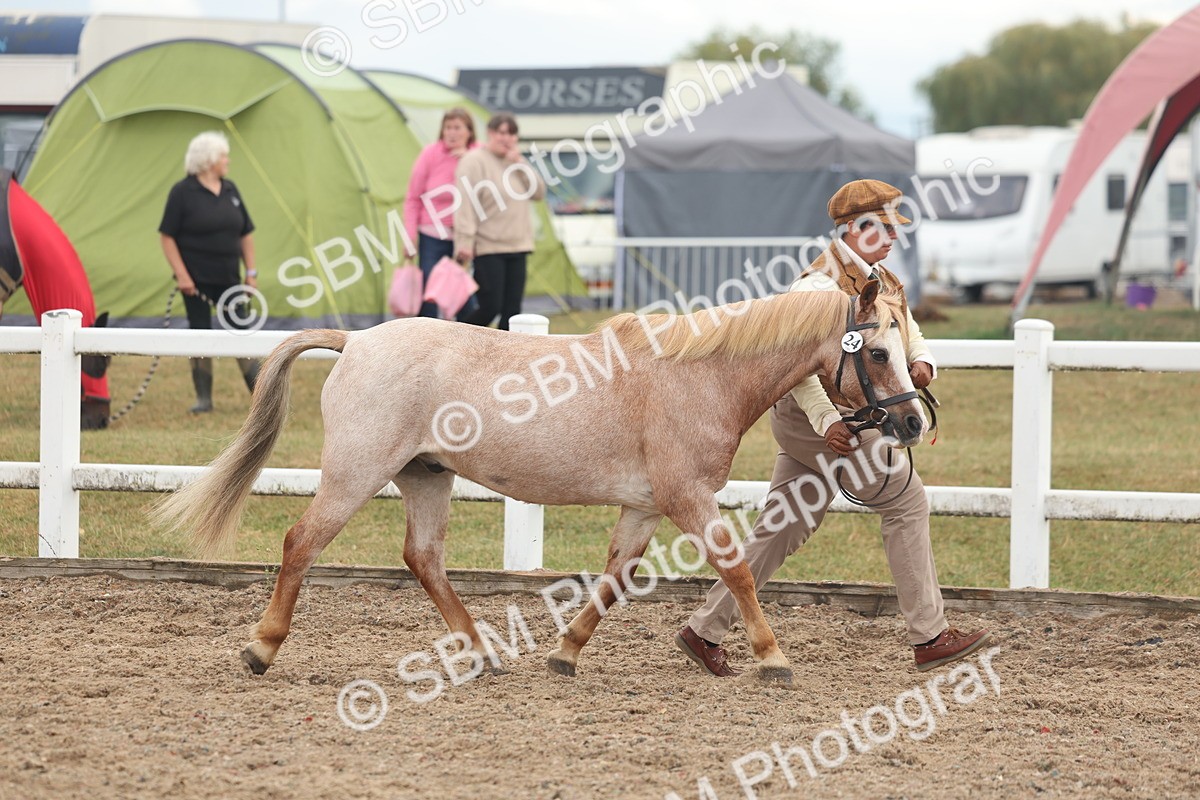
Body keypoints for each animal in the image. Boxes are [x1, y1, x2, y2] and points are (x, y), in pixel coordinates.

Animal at [155, 279, 925, 684]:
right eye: (877, 352)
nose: (913, 422)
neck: (698, 374)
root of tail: (358, 342)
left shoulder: (646, 508)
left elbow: (614, 581)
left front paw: (564, 651)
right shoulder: (687, 498)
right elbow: (736, 570)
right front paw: (773, 658)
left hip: (425, 478)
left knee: (424, 559)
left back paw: (480, 652)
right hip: (355, 474)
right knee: (302, 542)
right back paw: (261, 646)